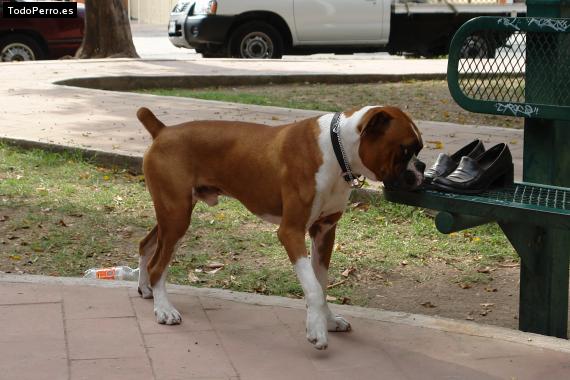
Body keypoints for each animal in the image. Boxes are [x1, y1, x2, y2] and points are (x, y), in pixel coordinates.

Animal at [136, 105, 422, 348]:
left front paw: (327, 321)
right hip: (176, 216)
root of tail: (163, 130)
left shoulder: (324, 231)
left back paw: (146, 289)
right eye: (406, 150)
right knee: (157, 265)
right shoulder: (291, 232)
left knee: (145, 244)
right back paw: (164, 309)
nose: (421, 167)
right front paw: (317, 331)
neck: (337, 148)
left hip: (172, 216)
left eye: (418, 151)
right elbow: (313, 288)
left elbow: (321, 284)